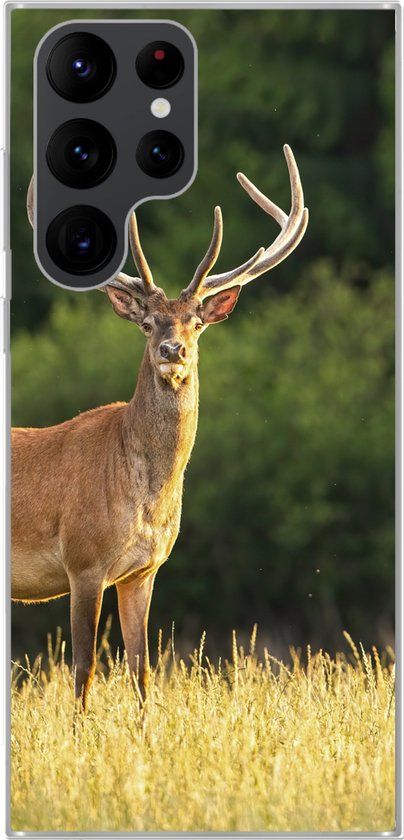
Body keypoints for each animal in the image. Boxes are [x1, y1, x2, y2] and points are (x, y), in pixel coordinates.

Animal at [12, 145, 308, 709]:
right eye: (147, 323)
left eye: (197, 321)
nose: (174, 350)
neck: (146, 497)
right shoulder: (83, 560)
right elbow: (83, 669)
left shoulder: (143, 570)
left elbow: (142, 670)